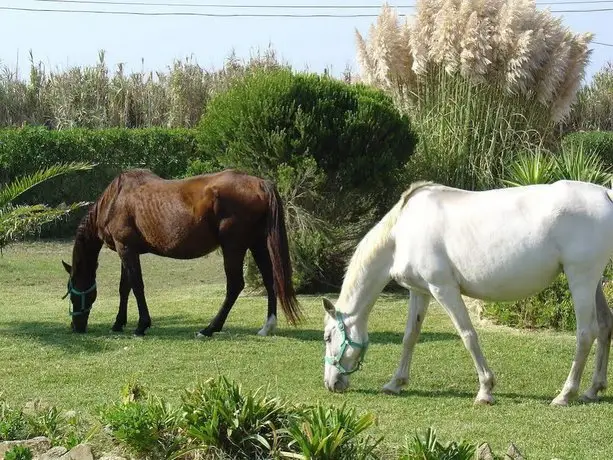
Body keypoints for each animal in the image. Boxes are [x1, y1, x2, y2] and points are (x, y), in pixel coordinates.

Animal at [61, 169, 302, 338]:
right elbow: (124, 288)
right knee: (270, 280)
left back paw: (209, 329)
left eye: (72, 292)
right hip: (257, 244)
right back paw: (267, 327)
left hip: (233, 247)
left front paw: (141, 325)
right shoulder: (127, 250)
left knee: (235, 285)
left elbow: (137, 286)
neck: (116, 199)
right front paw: (118, 323)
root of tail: (260, 183)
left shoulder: (126, 249)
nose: (75, 326)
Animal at [322, 180, 612, 406]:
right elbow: (410, 336)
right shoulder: (420, 292)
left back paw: (565, 394)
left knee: (586, 333)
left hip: (581, 279)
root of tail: (605, 194)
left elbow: (468, 335)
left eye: (327, 337)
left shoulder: (443, 289)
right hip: (593, 283)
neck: (401, 232)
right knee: (605, 326)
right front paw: (395, 383)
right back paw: (592, 390)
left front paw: (485, 390)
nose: (331, 383)